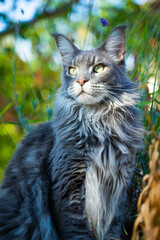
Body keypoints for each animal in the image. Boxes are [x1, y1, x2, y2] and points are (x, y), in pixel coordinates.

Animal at [0, 25, 142, 239]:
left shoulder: (117, 192)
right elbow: (77, 232)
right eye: (72, 70)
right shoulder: (67, 187)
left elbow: (112, 231)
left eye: (98, 68)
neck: (98, 122)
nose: (81, 80)